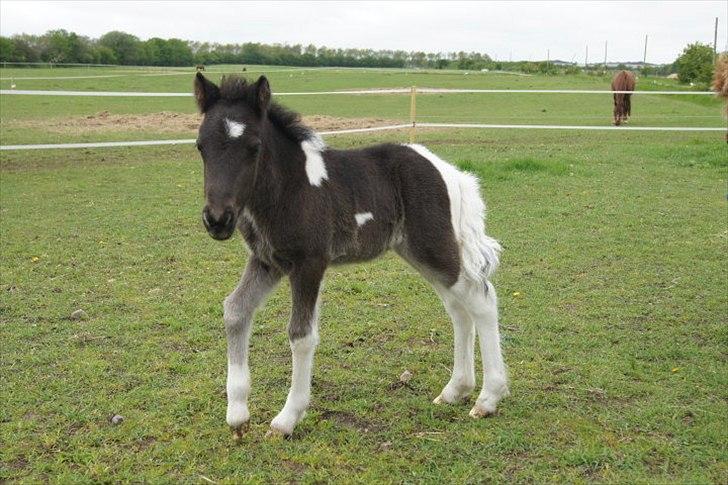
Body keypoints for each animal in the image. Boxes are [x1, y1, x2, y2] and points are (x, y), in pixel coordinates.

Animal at [196, 73, 510, 438]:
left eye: (254, 147)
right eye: (200, 146)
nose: (218, 220)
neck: (289, 188)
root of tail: (449, 172)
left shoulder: (309, 264)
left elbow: (301, 334)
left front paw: (287, 419)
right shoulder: (267, 262)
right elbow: (235, 310)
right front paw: (237, 414)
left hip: (433, 248)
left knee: (481, 300)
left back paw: (488, 399)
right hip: (420, 253)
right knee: (459, 309)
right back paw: (455, 391)